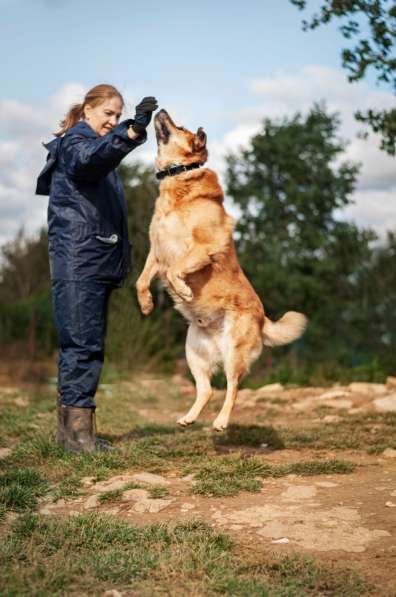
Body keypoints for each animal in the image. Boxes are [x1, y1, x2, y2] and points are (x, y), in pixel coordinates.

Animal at [136, 110, 306, 428]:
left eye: (180, 126)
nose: (161, 110)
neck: (179, 178)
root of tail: (263, 320)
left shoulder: (204, 245)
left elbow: (177, 270)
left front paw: (183, 290)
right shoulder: (156, 251)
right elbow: (141, 281)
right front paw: (146, 304)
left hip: (233, 354)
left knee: (232, 388)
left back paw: (222, 421)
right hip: (193, 354)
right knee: (207, 390)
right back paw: (189, 418)